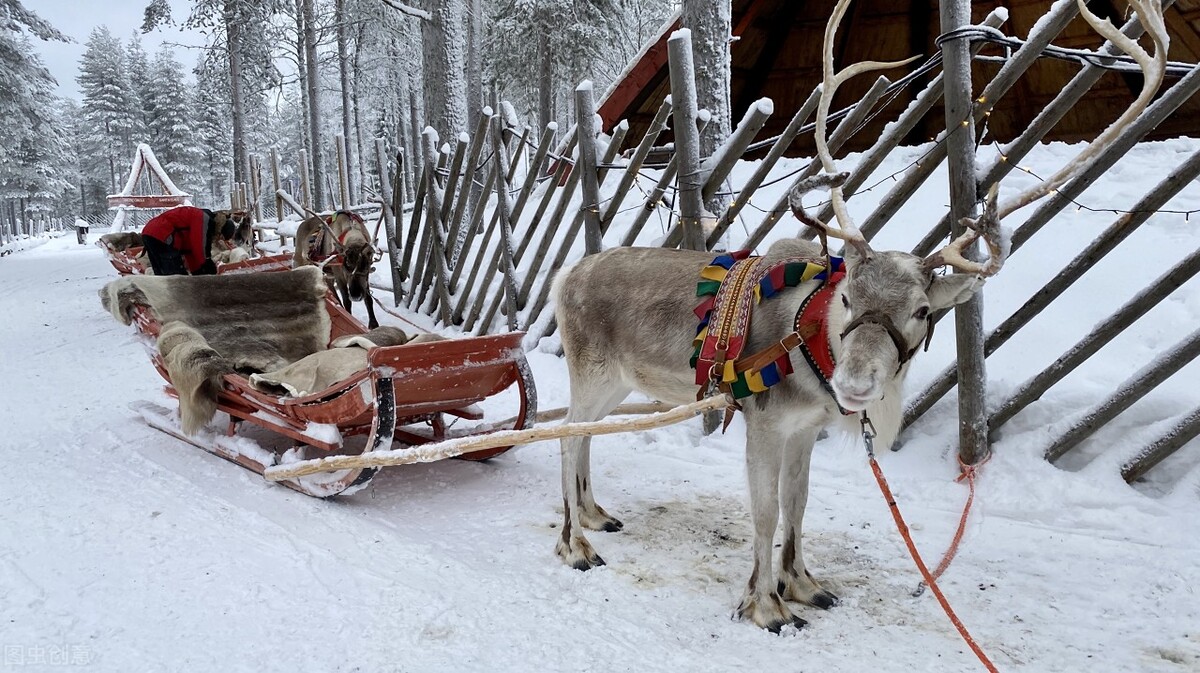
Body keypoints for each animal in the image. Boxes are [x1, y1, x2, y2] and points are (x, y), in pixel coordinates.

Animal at [549, 0, 1167, 632]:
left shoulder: (804, 429)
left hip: (620, 383)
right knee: (565, 440)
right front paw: (765, 606)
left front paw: (802, 584)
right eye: (847, 296)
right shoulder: (764, 423)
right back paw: (576, 546)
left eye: (922, 310)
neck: (809, 347)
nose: (856, 384)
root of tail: (564, 276)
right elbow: (765, 513)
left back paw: (594, 515)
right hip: (593, 372)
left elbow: (797, 506)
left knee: (582, 436)